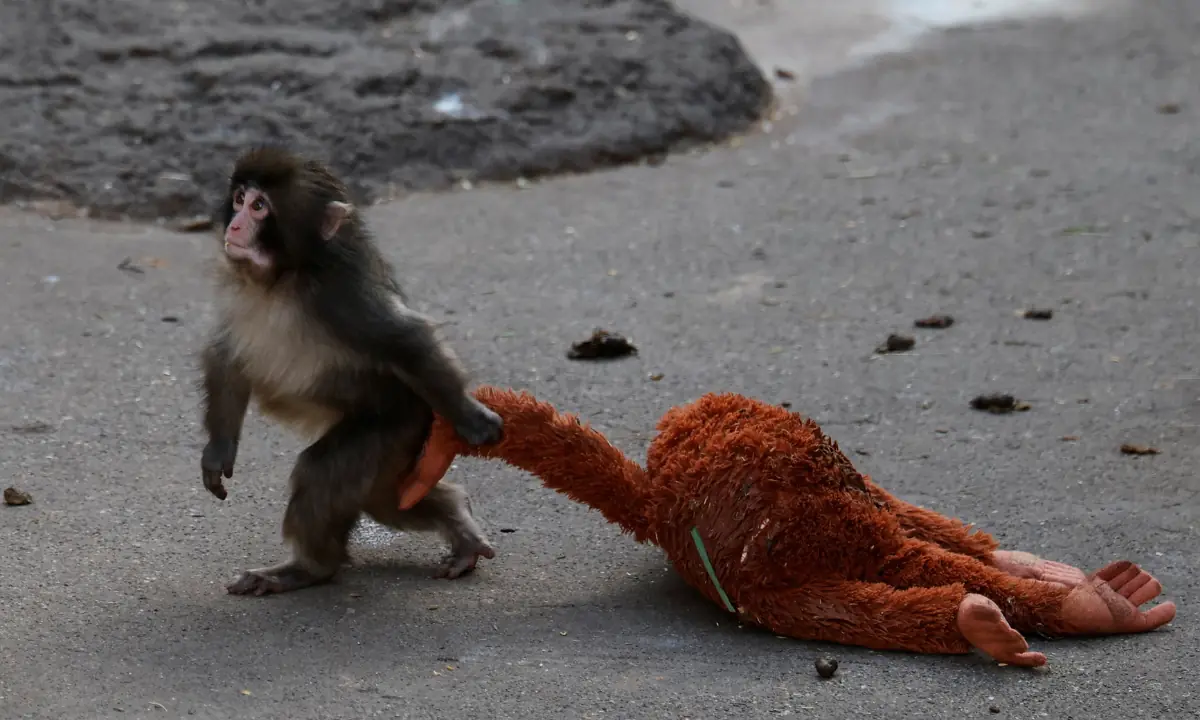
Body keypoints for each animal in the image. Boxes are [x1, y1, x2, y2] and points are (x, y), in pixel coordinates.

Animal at [197, 147, 503, 596]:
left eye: (259, 207)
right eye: (238, 199)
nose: (235, 225)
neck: (282, 277)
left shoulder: (341, 295)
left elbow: (405, 339)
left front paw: (471, 417)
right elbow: (226, 356)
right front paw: (219, 449)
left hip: (398, 422)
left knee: (324, 473)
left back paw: (310, 568)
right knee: (387, 499)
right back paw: (457, 517)